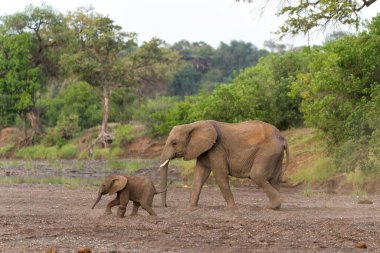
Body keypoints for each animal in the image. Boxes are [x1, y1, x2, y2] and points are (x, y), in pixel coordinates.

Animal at [160, 119, 288, 211]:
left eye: (174, 143)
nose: (166, 206)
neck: (192, 125)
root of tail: (282, 138)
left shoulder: (217, 148)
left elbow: (220, 174)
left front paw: (231, 208)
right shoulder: (204, 150)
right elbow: (199, 176)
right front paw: (191, 208)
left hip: (267, 152)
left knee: (257, 175)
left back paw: (269, 207)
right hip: (276, 154)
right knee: (275, 179)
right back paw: (275, 208)